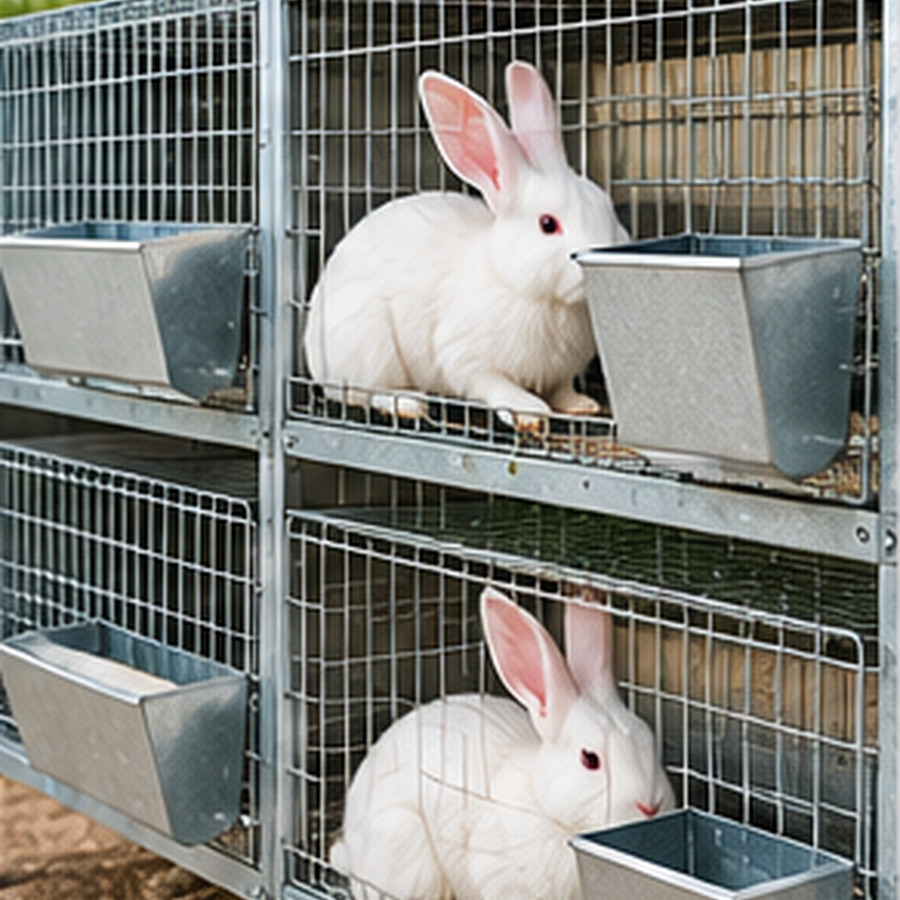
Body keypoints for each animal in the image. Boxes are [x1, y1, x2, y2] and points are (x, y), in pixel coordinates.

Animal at [303, 61, 629, 428]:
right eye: (548, 224)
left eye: (607, 206)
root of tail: (313, 358)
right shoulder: (465, 357)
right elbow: (494, 384)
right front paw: (529, 413)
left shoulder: (560, 372)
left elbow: (561, 390)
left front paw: (582, 405)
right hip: (366, 342)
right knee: (362, 393)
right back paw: (409, 404)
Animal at [329, 587, 675, 900]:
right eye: (590, 759)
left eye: (649, 739)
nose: (650, 806)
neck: (548, 813)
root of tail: (352, 849)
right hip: (406, 851)